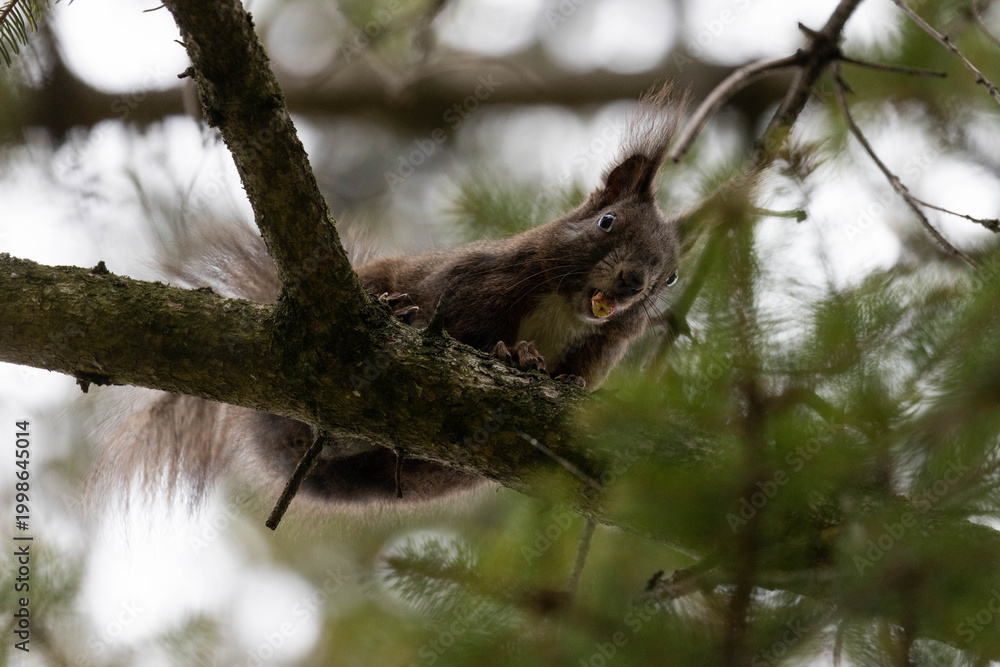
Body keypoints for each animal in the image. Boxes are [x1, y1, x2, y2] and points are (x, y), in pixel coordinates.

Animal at [89, 86, 684, 510]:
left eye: (671, 277)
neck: (565, 309)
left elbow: (574, 380)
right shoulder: (477, 282)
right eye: (608, 222)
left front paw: (553, 375)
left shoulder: (596, 353)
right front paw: (511, 353)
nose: (634, 281)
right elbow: (466, 326)